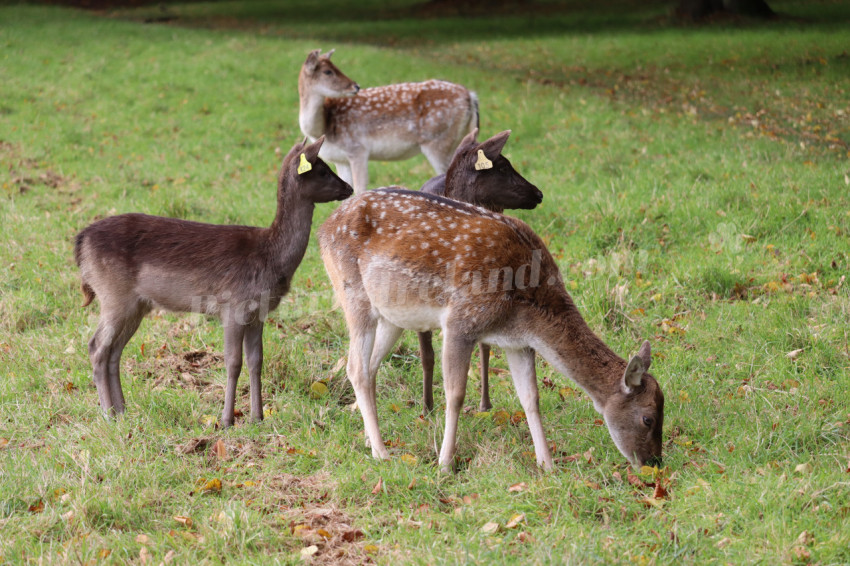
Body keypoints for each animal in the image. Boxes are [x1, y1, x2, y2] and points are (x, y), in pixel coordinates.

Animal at [73, 138, 352, 428]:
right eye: (322, 170)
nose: (349, 188)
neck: (270, 258)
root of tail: (80, 242)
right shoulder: (233, 305)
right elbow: (233, 362)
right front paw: (227, 420)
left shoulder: (258, 313)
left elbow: (256, 361)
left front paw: (257, 417)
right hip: (113, 295)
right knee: (97, 346)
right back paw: (108, 414)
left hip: (136, 305)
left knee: (114, 351)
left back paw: (122, 411)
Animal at [296, 47, 476, 193]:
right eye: (328, 71)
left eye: (336, 68)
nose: (355, 86)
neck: (323, 127)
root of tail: (471, 95)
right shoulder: (340, 160)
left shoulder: (358, 149)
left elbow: (360, 188)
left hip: (438, 142)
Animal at [318, 189, 664, 472]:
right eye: (647, 418)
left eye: (665, 408)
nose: (654, 463)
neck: (524, 308)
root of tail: (323, 228)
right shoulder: (461, 322)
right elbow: (456, 394)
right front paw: (445, 464)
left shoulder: (518, 343)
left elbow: (530, 397)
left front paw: (547, 465)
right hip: (353, 294)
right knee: (356, 367)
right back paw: (381, 453)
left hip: (392, 316)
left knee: (370, 366)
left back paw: (368, 440)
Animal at [410, 127, 544, 412]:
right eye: (502, 166)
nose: (538, 193)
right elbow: (427, 355)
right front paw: (426, 408)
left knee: (485, 346)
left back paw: (485, 402)